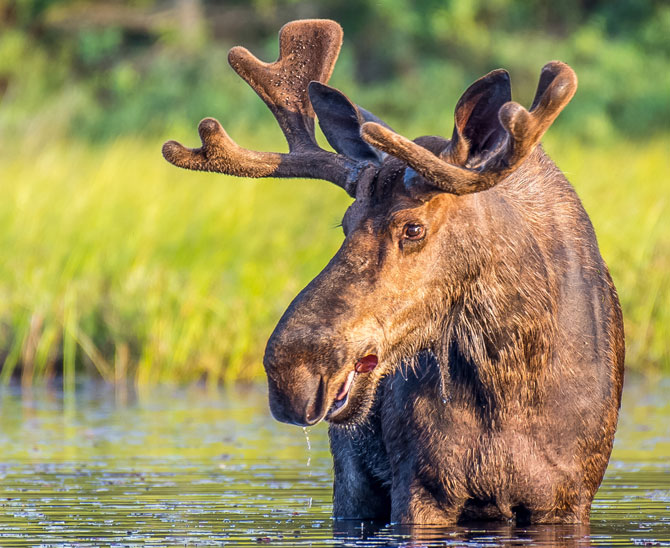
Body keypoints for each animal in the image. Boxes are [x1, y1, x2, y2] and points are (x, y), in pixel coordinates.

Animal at [165, 20, 628, 528]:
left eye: (413, 227)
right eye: (345, 223)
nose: (292, 371)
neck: (513, 379)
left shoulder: (567, 497)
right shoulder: (421, 485)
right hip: (351, 482)